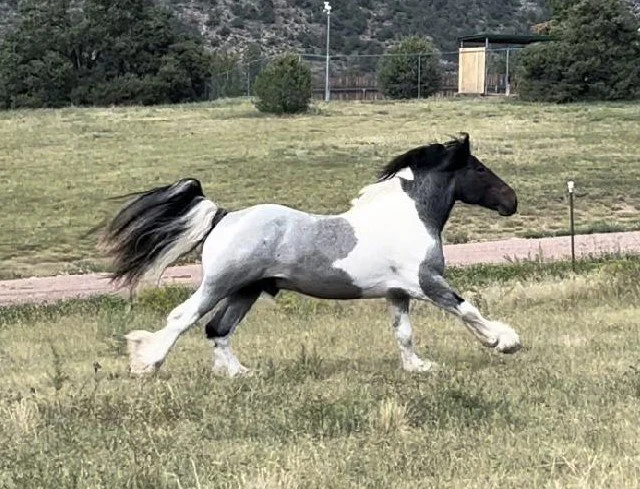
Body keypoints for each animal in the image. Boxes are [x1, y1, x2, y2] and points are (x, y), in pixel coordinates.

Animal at [99, 133, 522, 377]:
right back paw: (146, 364)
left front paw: (418, 367)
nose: (512, 202)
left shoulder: (397, 293)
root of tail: (223, 217)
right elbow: (468, 310)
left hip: (247, 291)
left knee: (217, 330)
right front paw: (505, 342)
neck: (408, 217)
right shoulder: (427, 283)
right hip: (220, 285)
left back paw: (240, 374)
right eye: (479, 169)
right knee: (184, 319)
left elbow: (403, 334)